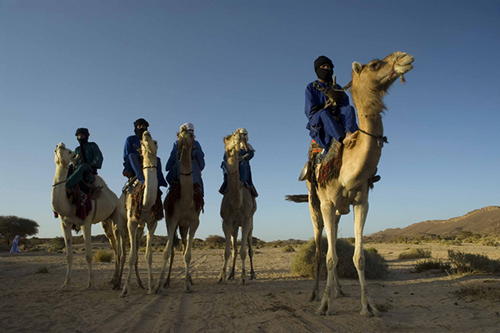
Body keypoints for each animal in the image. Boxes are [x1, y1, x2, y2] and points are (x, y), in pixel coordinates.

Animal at [51, 141, 127, 290]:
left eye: (69, 151)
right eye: (56, 149)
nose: (60, 145)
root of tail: (115, 197)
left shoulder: (85, 222)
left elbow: (88, 255)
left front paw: (91, 283)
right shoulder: (65, 223)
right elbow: (68, 255)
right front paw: (66, 284)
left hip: (117, 218)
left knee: (119, 248)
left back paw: (117, 282)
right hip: (106, 222)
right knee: (115, 248)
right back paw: (113, 279)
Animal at [156, 125, 203, 294]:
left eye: (191, 134)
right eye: (178, 133)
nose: (183, 130)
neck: (185, 201)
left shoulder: (194, 222)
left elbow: (188, 254)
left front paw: (186, 285)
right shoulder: (171, 219)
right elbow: (166, 252)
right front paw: (158, 285)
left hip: (184, 226)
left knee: (183, 248)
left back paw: (190, 281)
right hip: (177, 224)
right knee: (175, 249)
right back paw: (168, 281)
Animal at [219, 131, 258, 284]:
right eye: (227, 137)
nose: (238, 135)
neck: (236, 202)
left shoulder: (246, 220)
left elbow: (243, 251)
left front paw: (243, 277)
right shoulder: (227, 222)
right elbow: (228, 252)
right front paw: (222, 276)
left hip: (250, 222)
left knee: (250, 249)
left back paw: (252, 274)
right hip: (235, 227)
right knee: (234, 247)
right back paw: (231, 274)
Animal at [288, 51, 412, 314]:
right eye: (375, 64)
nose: (405, 57)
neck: (348, 171)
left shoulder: (361, 202)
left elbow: (358, 258)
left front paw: (368, 306)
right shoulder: (327, 204)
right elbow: (329, 257)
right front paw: (325, 305)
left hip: (337, 211)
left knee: (333, 240)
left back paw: (339, 290)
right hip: (315, 205)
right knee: (318, 250)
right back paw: (315, 294)